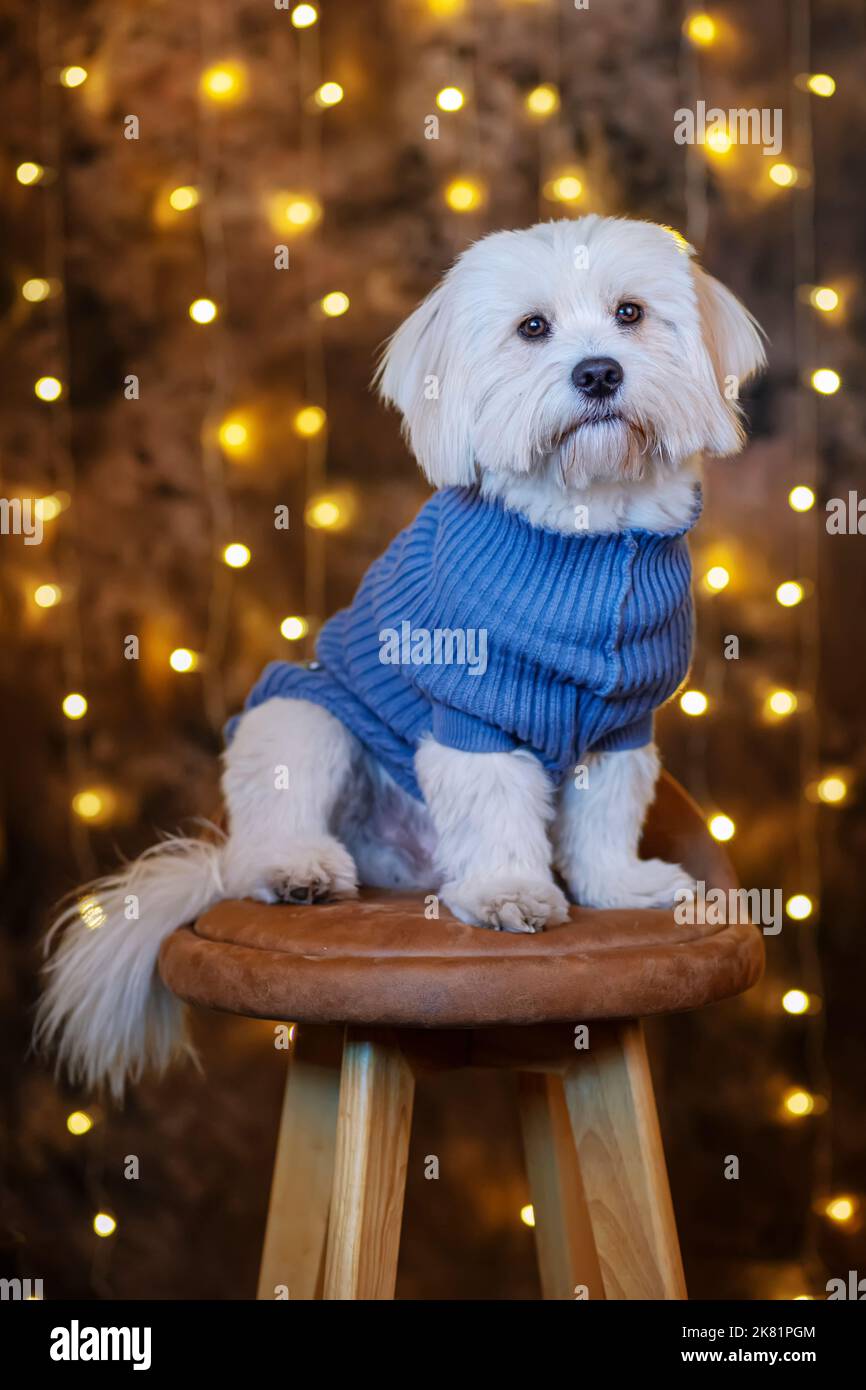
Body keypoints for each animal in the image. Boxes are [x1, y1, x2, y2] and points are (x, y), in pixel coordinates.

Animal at [35, 216, 767, 1095]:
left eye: (631, 313)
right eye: (533, 328)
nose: (598, 373)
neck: (591, 537)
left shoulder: (622, 728)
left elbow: (606, 816)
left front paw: (618, 885)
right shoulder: (472, 713)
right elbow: (495, 808)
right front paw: (509, 892)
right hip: (304, 716)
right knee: (265, 834)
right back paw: (298, 872)